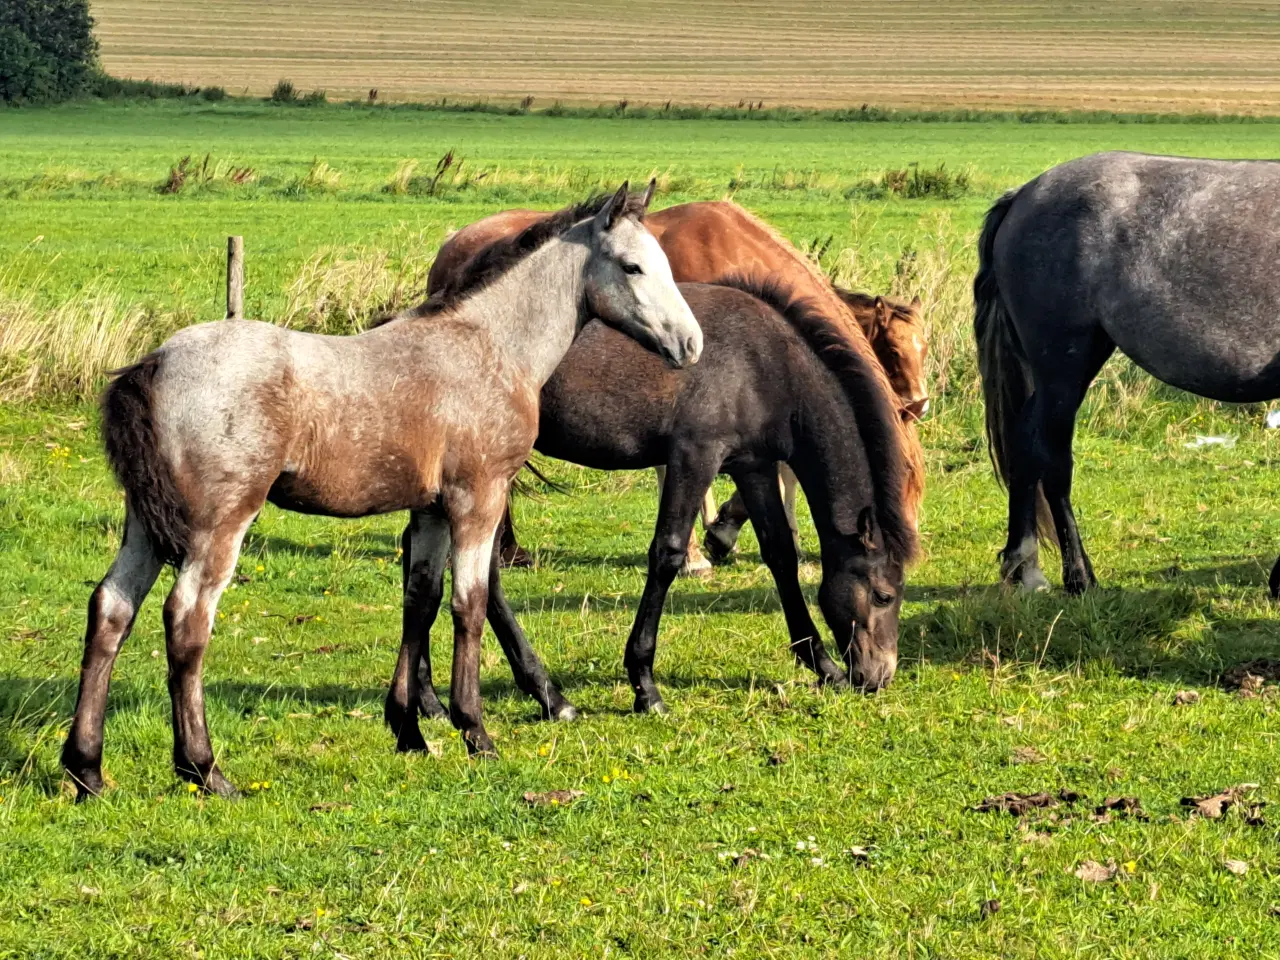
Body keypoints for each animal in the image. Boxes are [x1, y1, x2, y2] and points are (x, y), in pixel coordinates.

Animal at [60, 184, 701, 798]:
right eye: (633, 267)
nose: (691, 344)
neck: (488, 345)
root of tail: (154, 362)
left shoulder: (430, 509)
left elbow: (420, 600)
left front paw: (409, 729)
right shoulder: (478, 497)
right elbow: (469, 604)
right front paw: (475, 731)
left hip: (144, 523)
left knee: (111, 608)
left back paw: (87, 771)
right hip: (219, 523)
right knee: (187, 619)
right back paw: (205, 770)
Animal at [972, 151, 1280, 599]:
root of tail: (1024, 194)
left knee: (1025, 443)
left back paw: (1024, 568)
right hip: (1063, 362)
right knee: (1051, 456)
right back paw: (1078, 577)